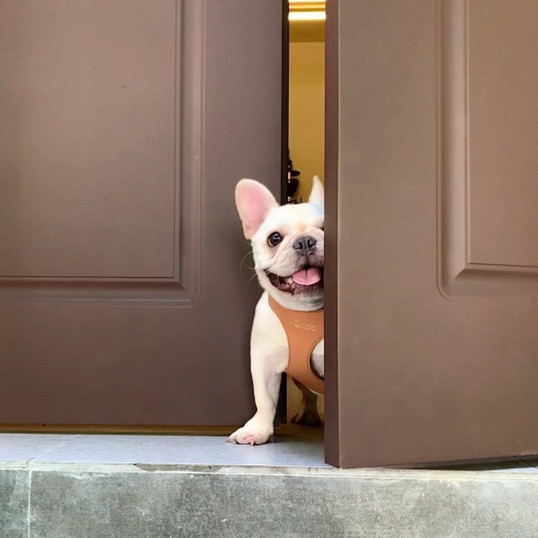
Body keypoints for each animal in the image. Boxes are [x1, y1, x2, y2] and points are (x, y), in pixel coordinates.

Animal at [229, 177, 324, 445]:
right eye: (275, 238)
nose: (304, 241)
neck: (307, 311)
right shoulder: (264, 362)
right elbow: (264, 400)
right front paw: (257, 429)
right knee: (309, 394)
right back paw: (309, 414)